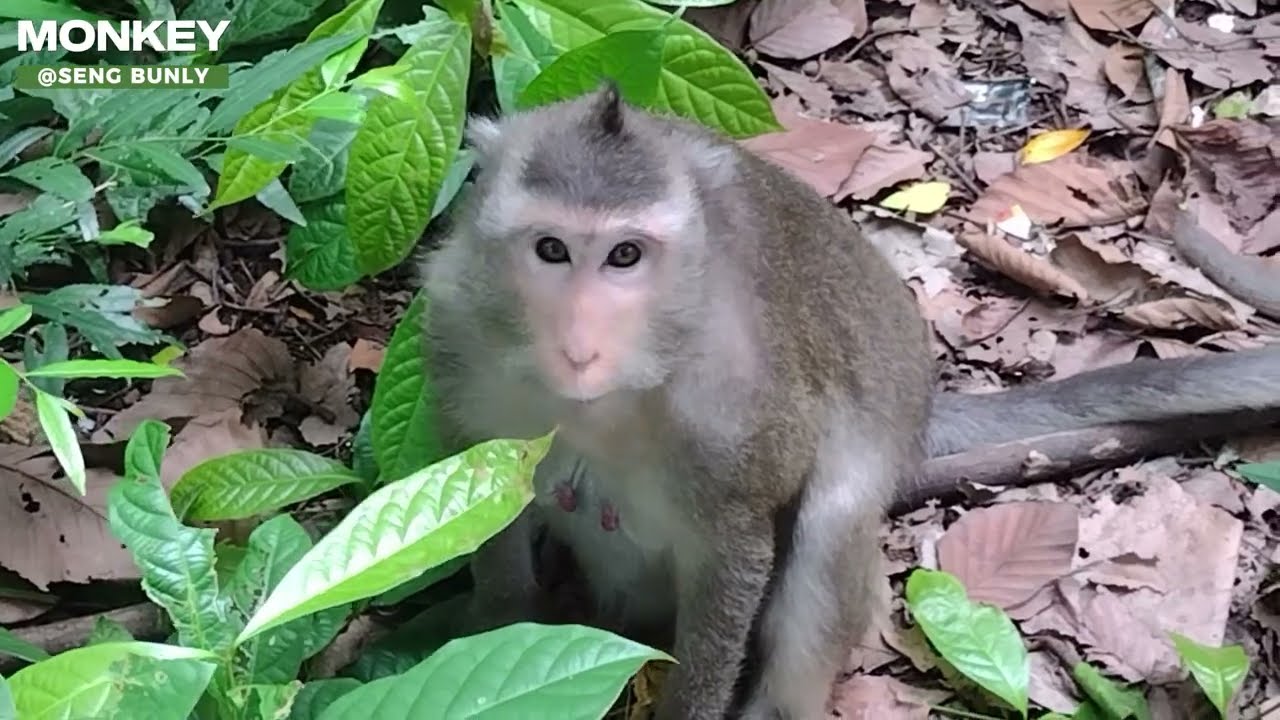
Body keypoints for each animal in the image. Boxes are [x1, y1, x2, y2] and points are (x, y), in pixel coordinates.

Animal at [419, 84, 1280, 719]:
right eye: (552, 249)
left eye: (625, 255)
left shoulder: (734, 413)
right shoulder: (456, 336)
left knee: (832, 517)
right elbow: (484, 505)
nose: (580, 341)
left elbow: (739, 553)